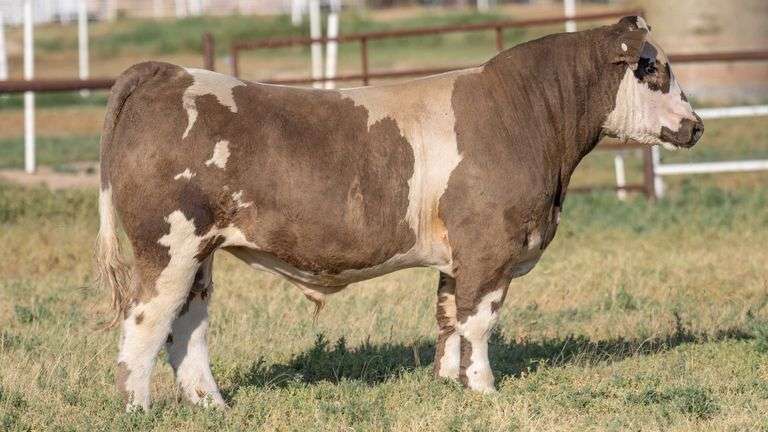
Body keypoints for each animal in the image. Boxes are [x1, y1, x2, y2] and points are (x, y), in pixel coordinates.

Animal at [96, 16, 703, 410]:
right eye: (654, 71)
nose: (696, 125)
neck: (526, 117)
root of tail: (170, 72)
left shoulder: (459, 257)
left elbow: (449, 317)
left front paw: (448, 383)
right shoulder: (490, 247)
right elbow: (480, 320)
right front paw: (484, 388)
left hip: (200, 253)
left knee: (188, 323)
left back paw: (211, 403)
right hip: (167, 244)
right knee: (146, 319)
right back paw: (138, 408)